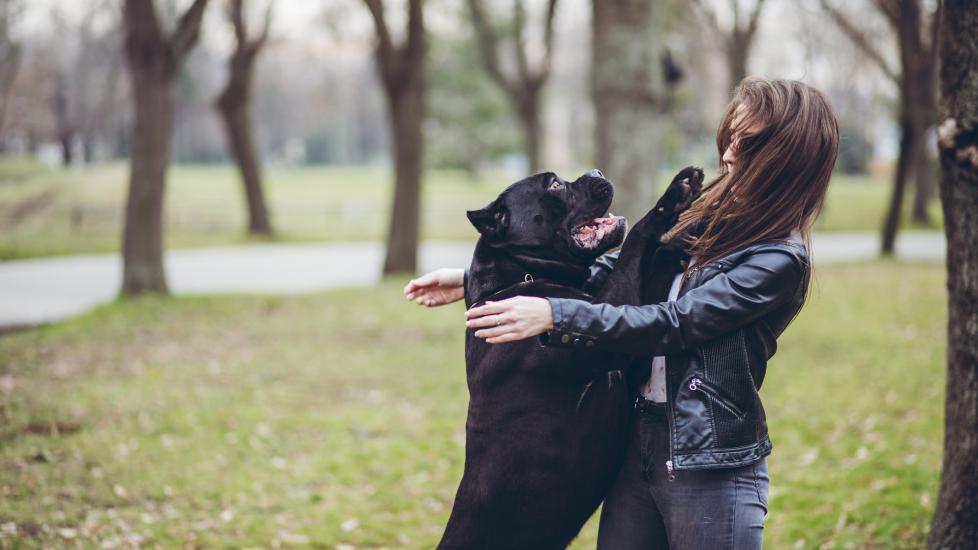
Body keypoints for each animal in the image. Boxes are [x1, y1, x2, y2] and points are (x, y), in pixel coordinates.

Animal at [440, 168, 700, 550]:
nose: (596, 172)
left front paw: (683, 234)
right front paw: (672, 199)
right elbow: (634, 243)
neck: (522, 278)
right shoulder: (612, 330)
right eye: (553, 185)